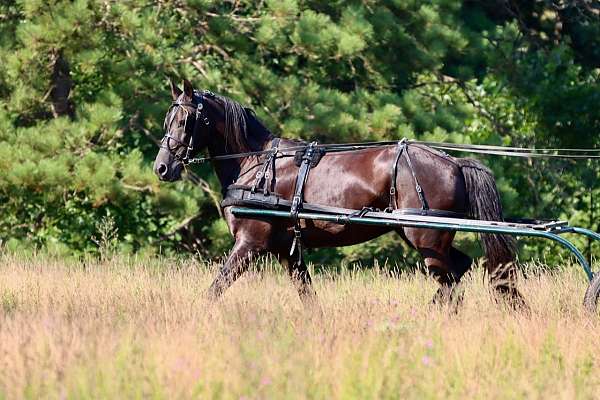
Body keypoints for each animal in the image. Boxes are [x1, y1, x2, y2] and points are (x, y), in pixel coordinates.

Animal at [156, 80, 524, 306]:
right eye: (167, 119)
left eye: (186, 120)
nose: (162, 167)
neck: (257, 163)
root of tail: (454, 162)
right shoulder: (288, 252)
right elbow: (308, 298)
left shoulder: (249, 244)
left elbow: (215, 289)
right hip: (426, 238)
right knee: (458, 274)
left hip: (426, 240)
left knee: (452, 286)